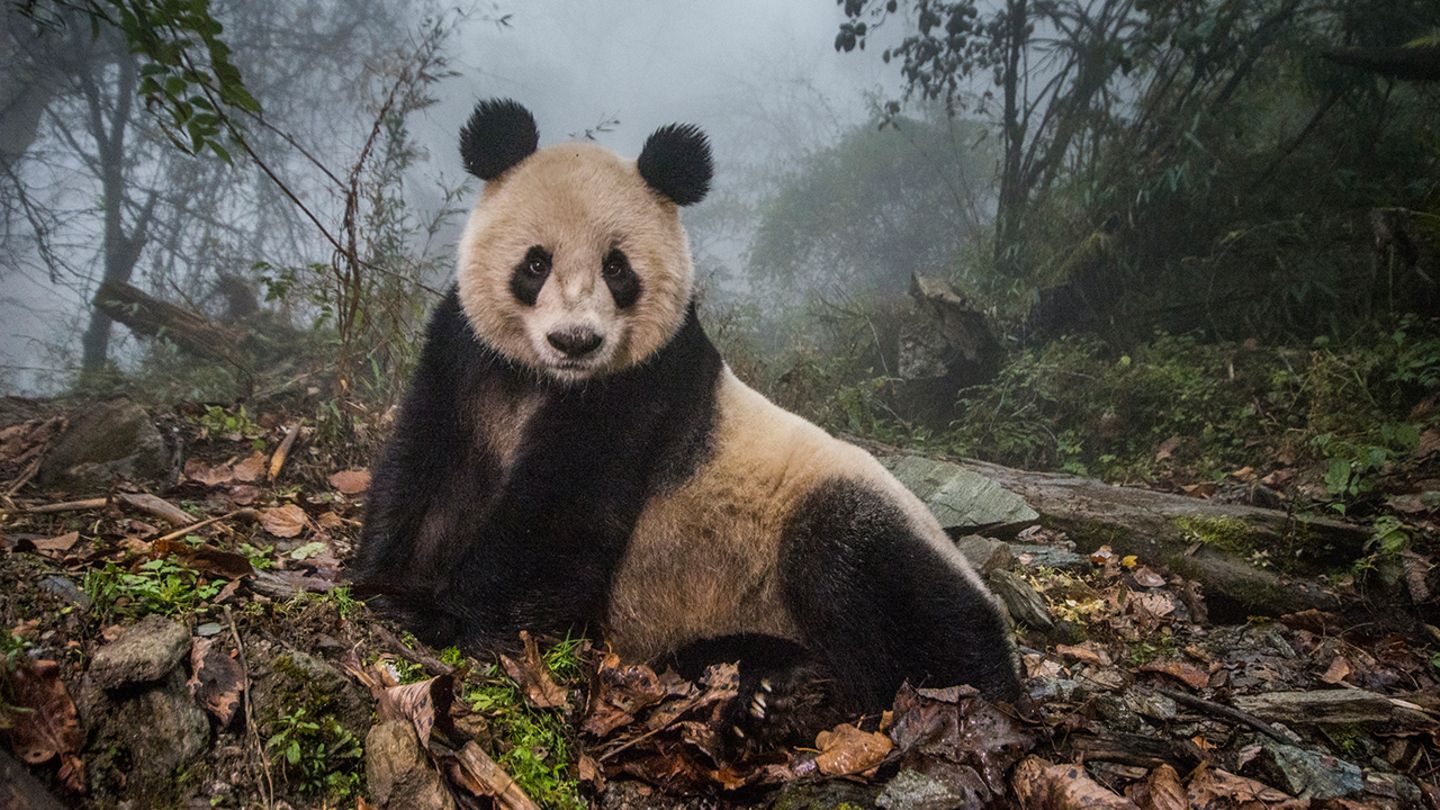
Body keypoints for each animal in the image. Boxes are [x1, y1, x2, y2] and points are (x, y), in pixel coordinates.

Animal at [353, 99, 1020, 733]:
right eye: (535, 263)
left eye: (617, 268)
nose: (576, 341)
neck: (547, 381)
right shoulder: (466, 356)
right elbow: (425, 467)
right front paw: (383, 583)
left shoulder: (643, 388)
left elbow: (558, 519)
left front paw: (439, 612)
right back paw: (772, 679)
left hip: (847, 514)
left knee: (879, 582)